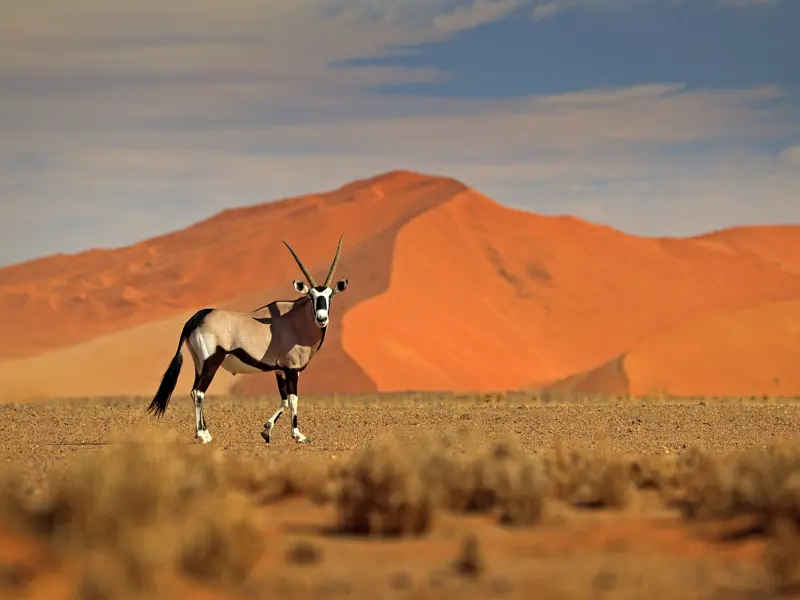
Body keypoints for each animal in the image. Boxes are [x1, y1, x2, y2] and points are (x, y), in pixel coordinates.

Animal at [147, 234, 346, 446]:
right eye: (312, 296)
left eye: (330, 296)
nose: (322, 318)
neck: (295, 320)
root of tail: (194, 319)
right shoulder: (292, 369)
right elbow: (293, 399)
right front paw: (298, 435)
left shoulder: (279, 370)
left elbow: (284, 399)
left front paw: (266, 431)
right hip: (212, 362)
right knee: (198, 392)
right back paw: (202, 435)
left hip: (199, 364)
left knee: (195, 391)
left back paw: (204, 432)